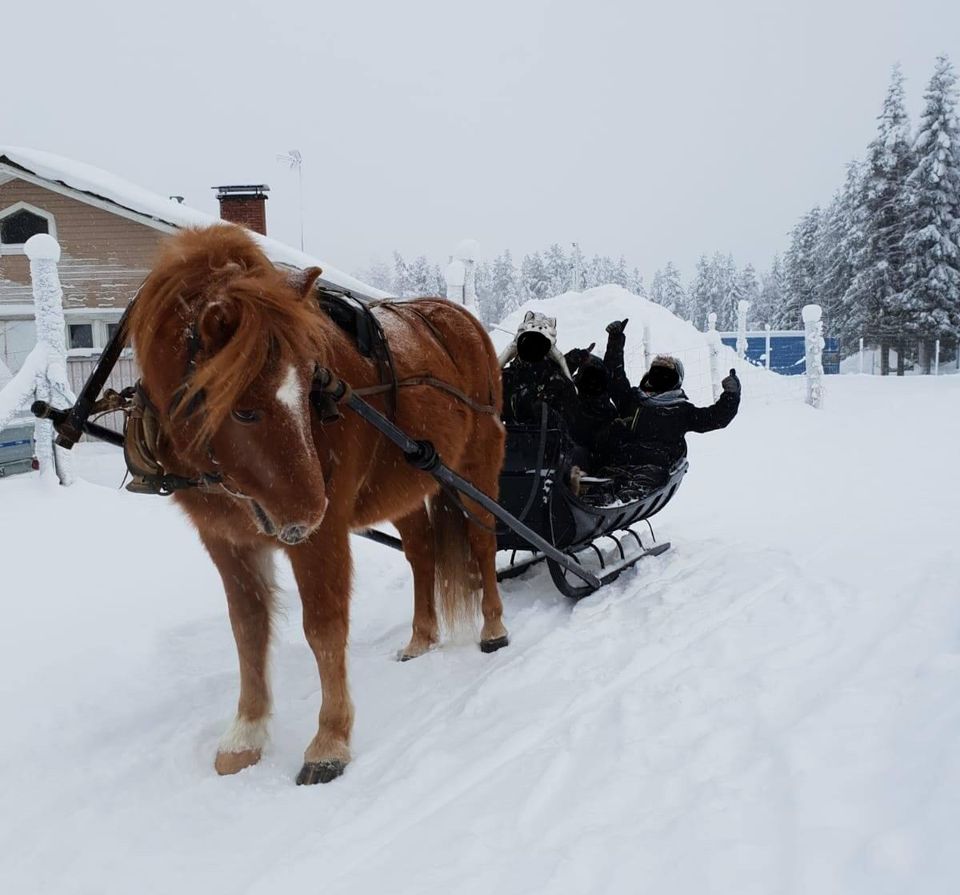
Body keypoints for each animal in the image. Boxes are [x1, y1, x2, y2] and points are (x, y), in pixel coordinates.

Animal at [131, 224, 512, 784]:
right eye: (243, 410)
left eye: (310, 384)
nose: (309, 511)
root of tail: (461, 319)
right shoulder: (226, 540)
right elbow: (247, 628)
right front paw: (245, 736)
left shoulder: (323, 537)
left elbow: (324, 628)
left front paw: (329, 741)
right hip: (405, 485)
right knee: (422, 554)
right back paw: (421, 638)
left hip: (474, 470)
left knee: (483, 543)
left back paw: (493, 628)